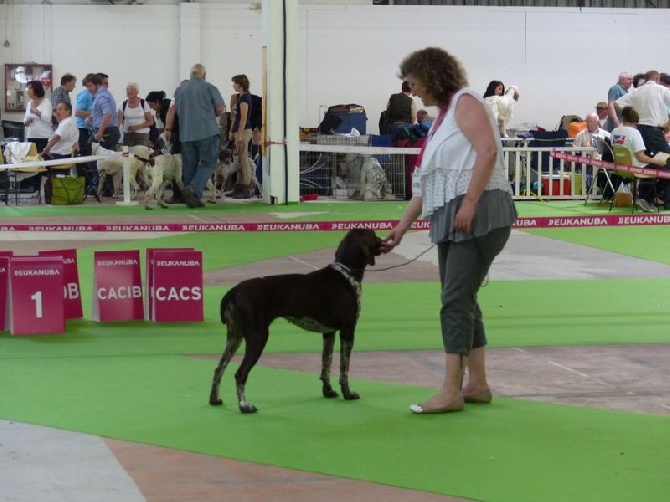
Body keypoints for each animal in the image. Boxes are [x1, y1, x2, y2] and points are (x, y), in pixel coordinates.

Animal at [209, 229, 384, 414]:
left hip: (234, 337)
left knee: (218, 368)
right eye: (374, 235)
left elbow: (326, 365)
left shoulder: (329, 333)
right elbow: (344, 369)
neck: (346, 274)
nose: (383, 239)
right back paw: (245, 406)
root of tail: (235, 290)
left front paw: (328, 391)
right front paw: (348, 394)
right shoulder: (347, 331)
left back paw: (215, 399)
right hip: (258, 337)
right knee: (240, 374)